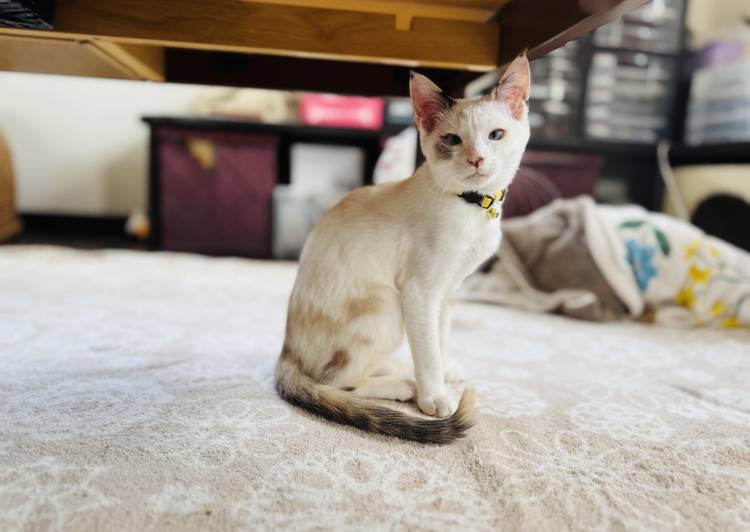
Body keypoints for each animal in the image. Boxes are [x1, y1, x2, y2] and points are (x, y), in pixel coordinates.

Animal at [276, 54, 531, 443]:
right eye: (453, 140)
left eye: (496, 135)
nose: (476, 159)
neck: (471, 207)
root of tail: (286, 351)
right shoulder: (419, 292)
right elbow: (427, 352)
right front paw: (434, 396)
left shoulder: (447, 293)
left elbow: (437, 341)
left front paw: (442, 374)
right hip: (387, 306)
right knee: (336, 382)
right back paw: (403, 385)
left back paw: (397, 367)